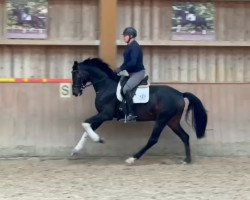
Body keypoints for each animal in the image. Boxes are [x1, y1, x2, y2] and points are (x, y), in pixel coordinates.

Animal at [71, 57, 207, 164]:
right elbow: (87, 129)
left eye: (76, 74)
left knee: (153, 139)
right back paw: (187, 160)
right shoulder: (101, 115)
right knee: (185, 136)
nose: (75, 92)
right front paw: (76, 150)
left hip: (162, 119)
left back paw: (132, 158)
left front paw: (98, 139)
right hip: (172, 121)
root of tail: (180, 94)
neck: (105, 87)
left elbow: (85, 123)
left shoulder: (105, 115)